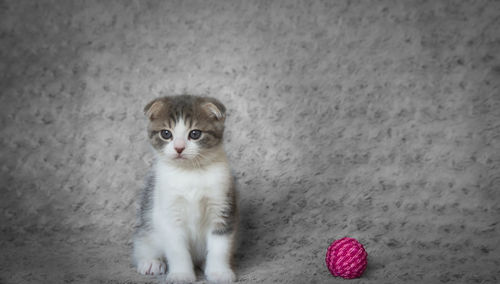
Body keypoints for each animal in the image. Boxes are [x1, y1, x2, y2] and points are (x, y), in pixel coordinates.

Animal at [133, 95, 238, 284]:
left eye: (195, 134)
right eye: (166, 133)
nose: (179, 148)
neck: (190, 172)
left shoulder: (222, 205)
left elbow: (220, 246)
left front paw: (219, 272)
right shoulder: (169, 213)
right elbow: (177, 249)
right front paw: (181, 274)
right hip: (147, 225)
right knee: (143, 244)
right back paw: (151, 262)